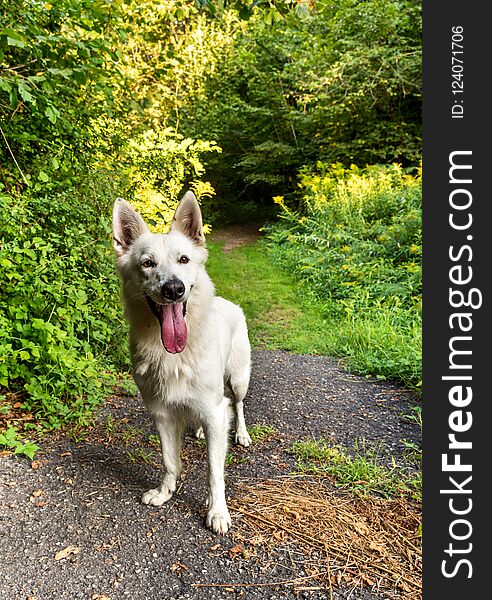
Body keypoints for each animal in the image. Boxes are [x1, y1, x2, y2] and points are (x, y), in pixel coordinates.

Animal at [111, 192, 250, 536]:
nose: (174, 289)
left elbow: (214, 471)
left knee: (238, 405)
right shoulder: (161, 413)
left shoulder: (215, 411)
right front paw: (165, 492)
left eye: (184, 260)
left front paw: (217, 512)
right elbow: (169, 460)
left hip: (238, 379)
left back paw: (241, 433)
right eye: (147, 263)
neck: (175, 355)